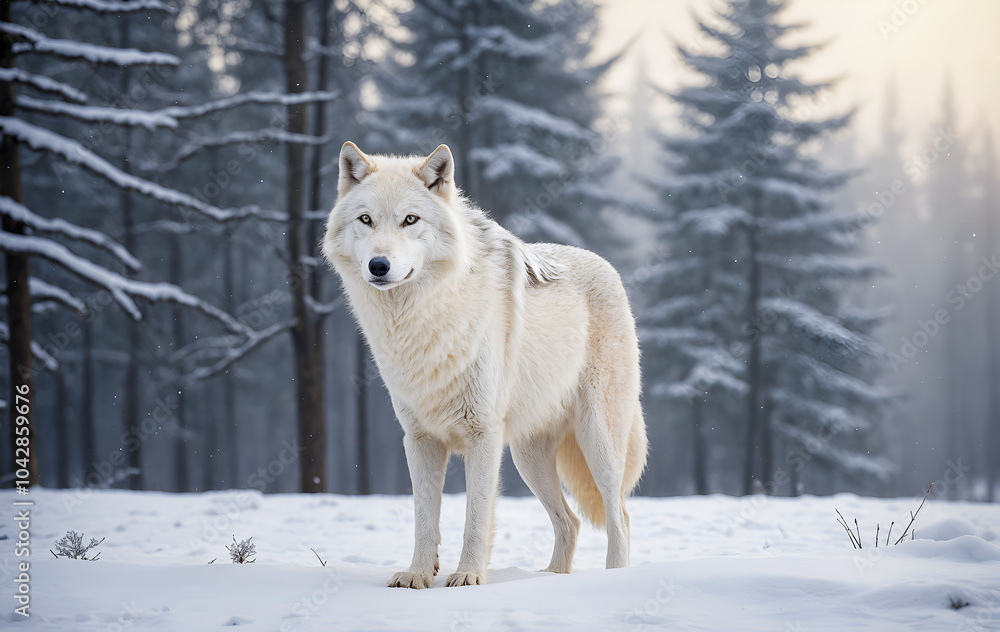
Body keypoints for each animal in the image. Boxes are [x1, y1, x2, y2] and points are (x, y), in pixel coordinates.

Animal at [322, 141, 647, 588]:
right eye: (365, 220)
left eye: (410, 219)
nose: (378, 266)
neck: (420, 319)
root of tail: (607, 265)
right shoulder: (419, 439)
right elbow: (424, 519)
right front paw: (417, 575)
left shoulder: (483, 435)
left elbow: (475, 518)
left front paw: (468, 577)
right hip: (528, 458)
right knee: (571, 521)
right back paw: (552, 577)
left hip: (597, 440)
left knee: (621, 517)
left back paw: (611, 577)